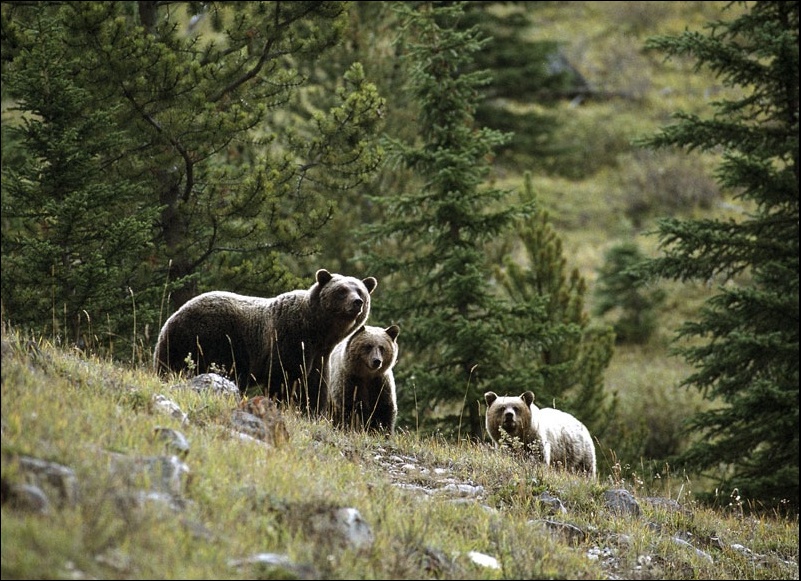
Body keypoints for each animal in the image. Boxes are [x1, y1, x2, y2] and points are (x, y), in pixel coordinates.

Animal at [154, 270, 378, 414]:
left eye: (360, 291)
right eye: (341, 290)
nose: (357, 302)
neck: (317, 332)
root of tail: (170, 320)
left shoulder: (320, 356)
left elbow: (315, 386)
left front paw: (311, 410)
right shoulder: (289, 339)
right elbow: (284, 378)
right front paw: (283, 405)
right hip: (212, 338)